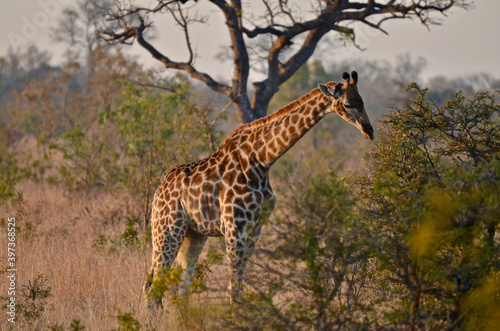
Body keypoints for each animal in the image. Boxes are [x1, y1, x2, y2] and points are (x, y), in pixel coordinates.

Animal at [143, 71, 374, 310]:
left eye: (362, 101)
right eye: (347, 104)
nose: (369, 131)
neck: (262, 160)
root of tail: (158, 190)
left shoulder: (255, 228)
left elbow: (239, 285)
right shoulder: (234, 227)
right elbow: (234, 287)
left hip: (193, 234)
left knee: (181, 286)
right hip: (167, 230)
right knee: (153, 284)